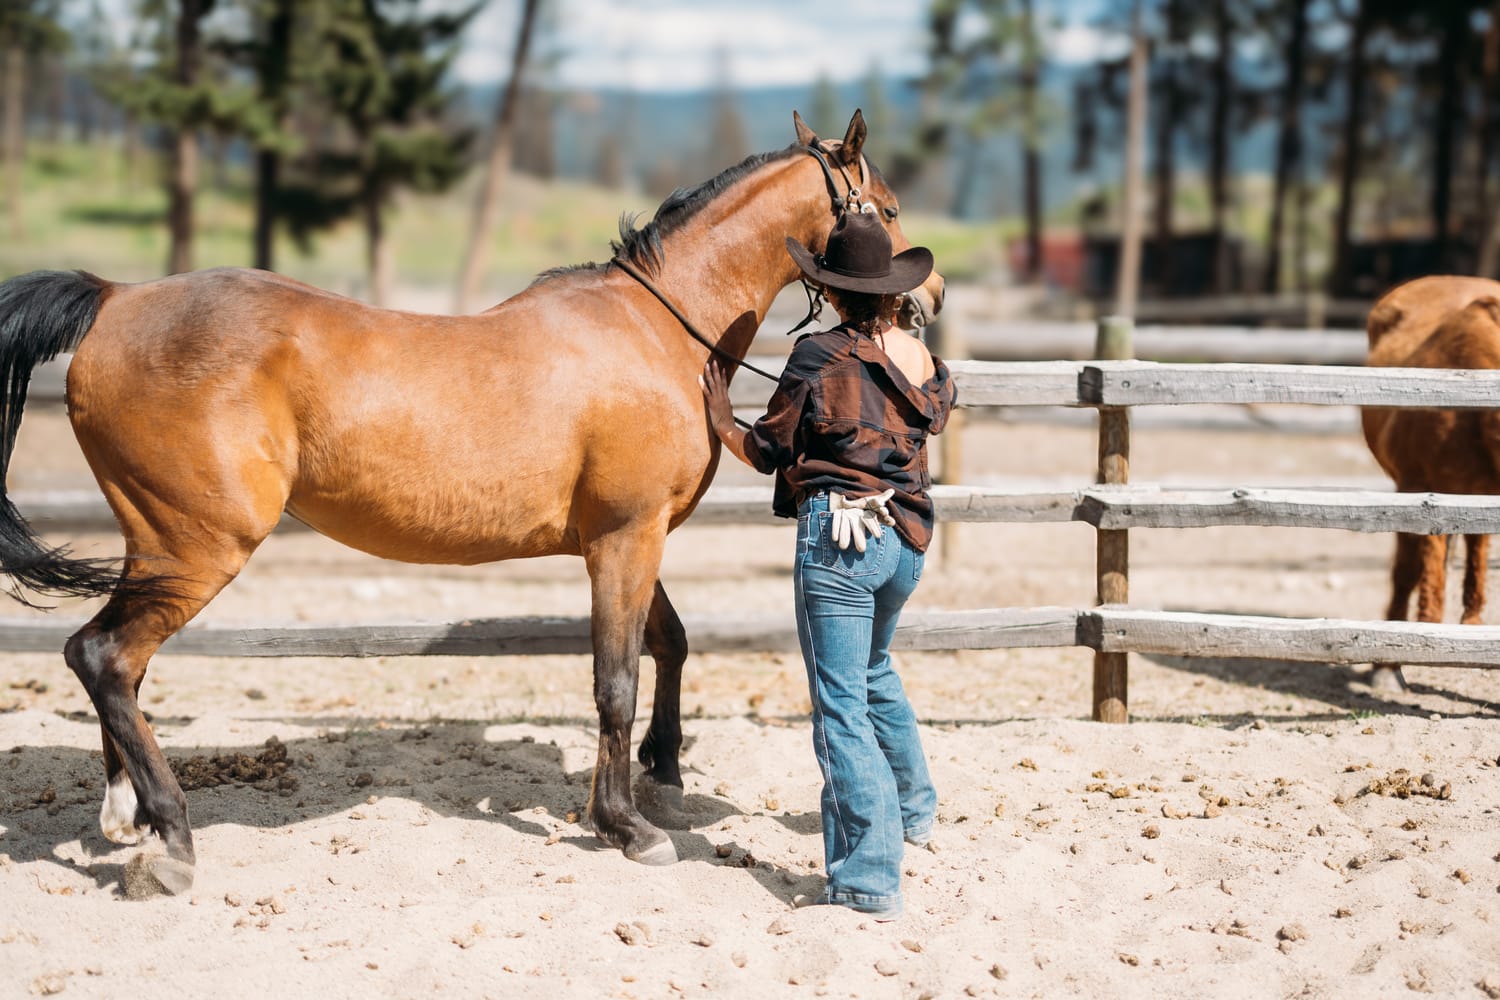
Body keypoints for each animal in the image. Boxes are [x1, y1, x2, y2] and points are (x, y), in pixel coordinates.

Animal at [0, 110, 946, 894]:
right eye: (890, 208)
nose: (928, 301)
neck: (656, 330)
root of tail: (118, 300)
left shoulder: (631, 537)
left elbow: (668, 645)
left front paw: (666, 775)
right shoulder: (624, 538)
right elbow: (616, 678)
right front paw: (627, 827)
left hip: (154, 547)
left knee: (120, 665)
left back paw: (127, 818)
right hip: (199, 547)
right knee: (104, 657)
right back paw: (171, 838)